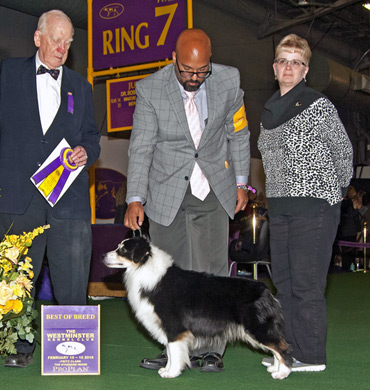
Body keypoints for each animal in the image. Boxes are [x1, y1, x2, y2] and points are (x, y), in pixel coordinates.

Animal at [103, 236, 292, 380]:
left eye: (123, 250)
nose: (103, 255)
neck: (144, 269)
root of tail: (266, 290)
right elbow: (171, 352)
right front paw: (167, 369)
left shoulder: (174, 326)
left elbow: (174, 351)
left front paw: (171, 373)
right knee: (276, 348)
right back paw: (274, 368)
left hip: (258, 327)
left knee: (283, 348)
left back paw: (281, 373)